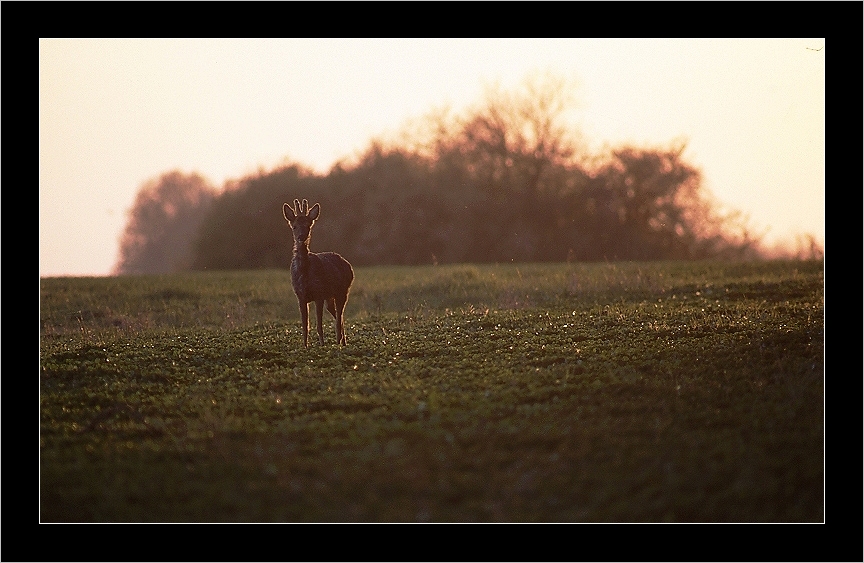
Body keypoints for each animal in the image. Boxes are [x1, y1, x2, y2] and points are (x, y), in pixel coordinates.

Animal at [282, 198, 352, 348]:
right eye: (294, 226)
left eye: (308, 225)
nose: (301, 236)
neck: (304, 272)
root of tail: (347, 263)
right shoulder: (300, 296)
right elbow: (305, 325)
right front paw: (305, 346)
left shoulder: (319, 293)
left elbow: (319, 325)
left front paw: (322, 345)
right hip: (330, 297)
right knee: (338, 315)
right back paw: (342, 341)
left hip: (343, 291)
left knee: (339, 316)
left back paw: (339, 342)